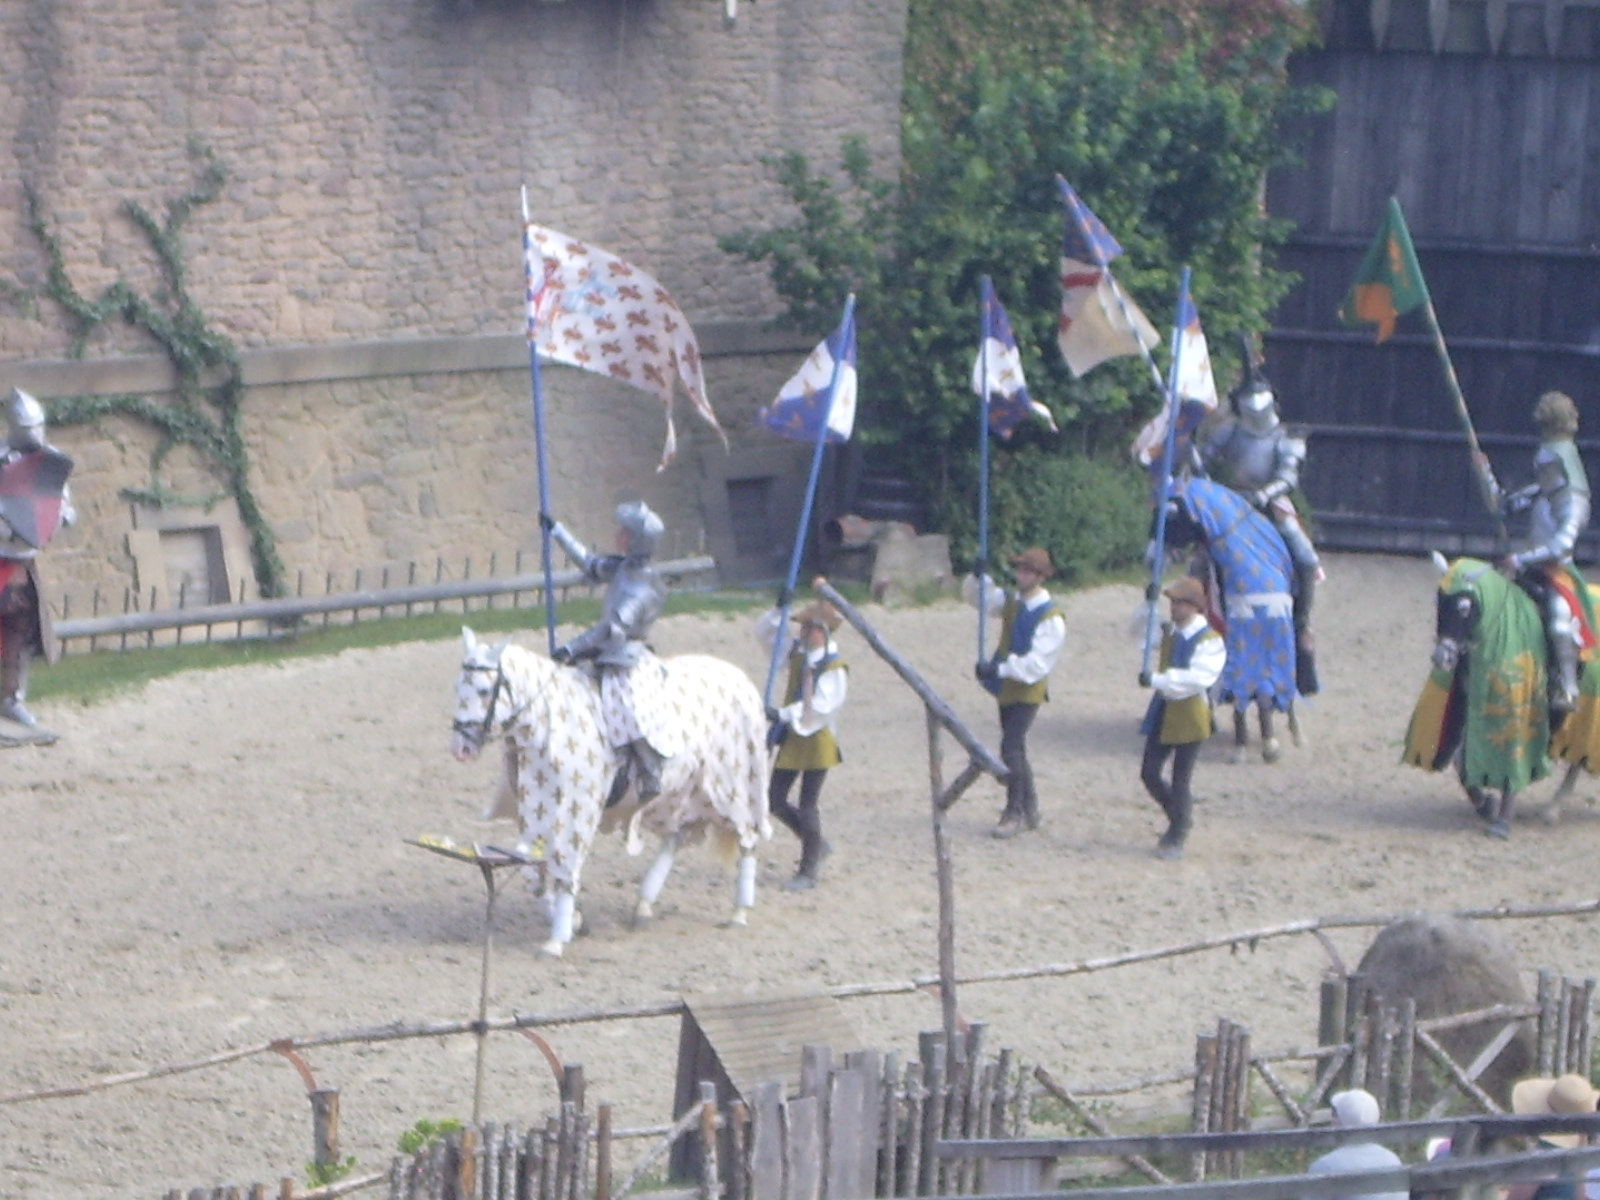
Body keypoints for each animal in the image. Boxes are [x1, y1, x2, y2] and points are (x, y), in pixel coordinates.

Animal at [451, 630, 774, 960]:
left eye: (484, 690)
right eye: (458, 687)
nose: (461, 748)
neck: (548, 722)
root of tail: (739, 677)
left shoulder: (573, 815)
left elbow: (564, 872)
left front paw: (557, 939)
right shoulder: (535, 814)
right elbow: (534, 876)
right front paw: (574, 921)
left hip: (736, 786)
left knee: (747, 839)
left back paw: (739, 911)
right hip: (680, 792)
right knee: (675, 838)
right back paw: (643, 905)